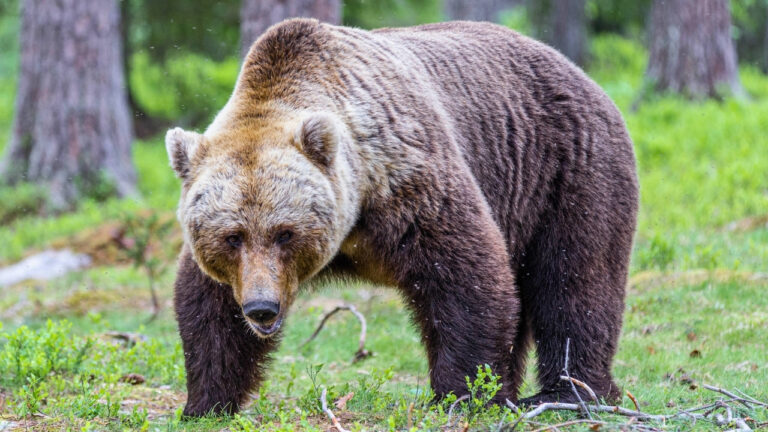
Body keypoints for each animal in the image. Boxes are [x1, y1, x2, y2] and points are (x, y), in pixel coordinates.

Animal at [165, 18, 638, 416]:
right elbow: (207, 305)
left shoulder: (409, 180)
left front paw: (463, 395)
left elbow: (466, 277)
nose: (262, 308)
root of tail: (582, 74)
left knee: (575, 279)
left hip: (567, 169)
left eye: (285, 233)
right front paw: (205, 402)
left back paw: (569, 391)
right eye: (233, 236)